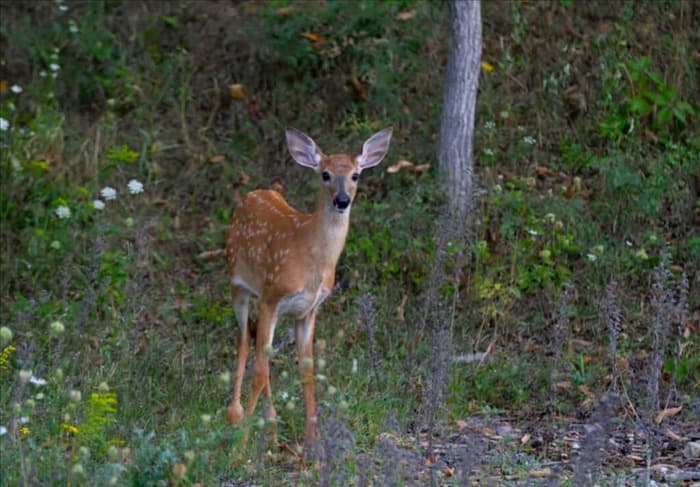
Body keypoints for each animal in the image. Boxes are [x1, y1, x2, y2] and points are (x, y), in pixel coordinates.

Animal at [224, 129, 392, 446]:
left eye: (355, 175)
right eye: (325, 174)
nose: (342, 200)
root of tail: (251, 194)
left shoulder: (308, 310)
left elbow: (308, 371)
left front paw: (312, 442)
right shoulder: (273, 297)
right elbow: (260, 372)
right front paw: (242, 443)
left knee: (257, 346)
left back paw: (270, 425)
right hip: (239, 285)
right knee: (244, 342)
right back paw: (236, 414)